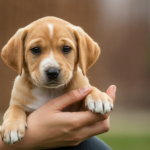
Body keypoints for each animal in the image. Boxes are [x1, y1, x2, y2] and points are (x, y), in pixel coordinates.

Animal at [0, 17, 112, 145]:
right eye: (35, 49)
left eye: (66, 48)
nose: (52, 72)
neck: (50, 91)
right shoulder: (19, 102)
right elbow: (14, 108)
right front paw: (11, 127)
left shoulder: (78, 108)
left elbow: (90, 88)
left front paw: (99, 97)